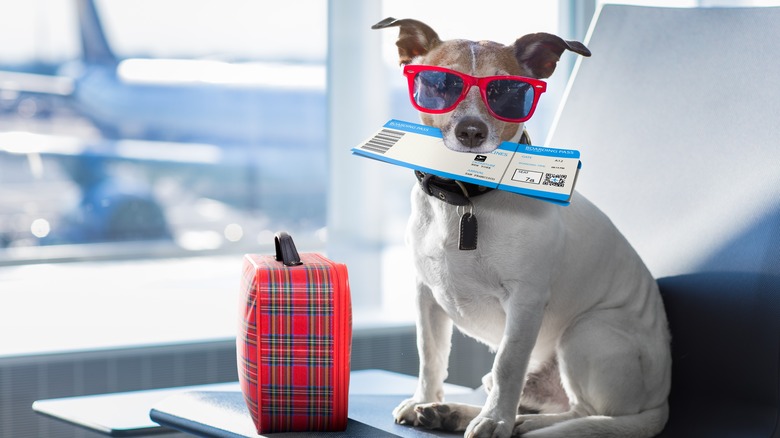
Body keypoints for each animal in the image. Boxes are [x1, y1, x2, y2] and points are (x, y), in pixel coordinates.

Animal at [372, 17, 672, 438]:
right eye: (440, 84)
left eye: (508, 92)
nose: (471, 131)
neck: (465, 199)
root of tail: (661, 401)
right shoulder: (425, 296)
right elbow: (429, 355)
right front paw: (422, 399)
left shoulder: (525, 302)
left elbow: (508, 364)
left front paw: (495, 421)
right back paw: (452, 412)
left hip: (586, 331)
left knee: (581, 413)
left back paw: (517, 423)